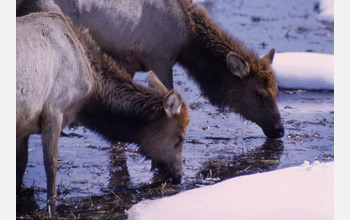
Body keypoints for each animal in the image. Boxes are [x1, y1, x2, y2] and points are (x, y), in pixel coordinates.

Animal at [16, 11, 190, 213]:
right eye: (180, 139)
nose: (179, 176)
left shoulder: (25, 123)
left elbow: (21, 165)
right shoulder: (54, 109)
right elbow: (51, 165)